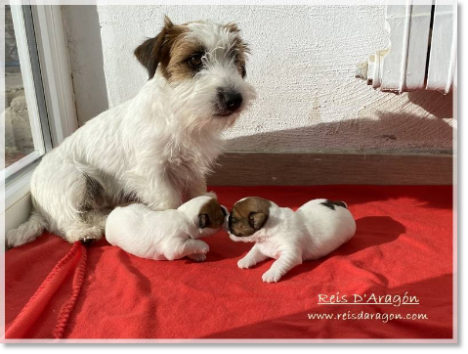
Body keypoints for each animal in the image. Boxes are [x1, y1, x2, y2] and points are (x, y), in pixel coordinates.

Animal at [6, 16, 256, 248]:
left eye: (235, 59)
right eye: (195, 59)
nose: (235, 99)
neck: (179, 114)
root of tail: (37, 204)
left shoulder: (191, 169)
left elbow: (197, 190)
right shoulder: (151, 172)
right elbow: (168, 200)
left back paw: (101, 222)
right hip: (73, 179)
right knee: (61, 222)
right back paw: (82, 233)